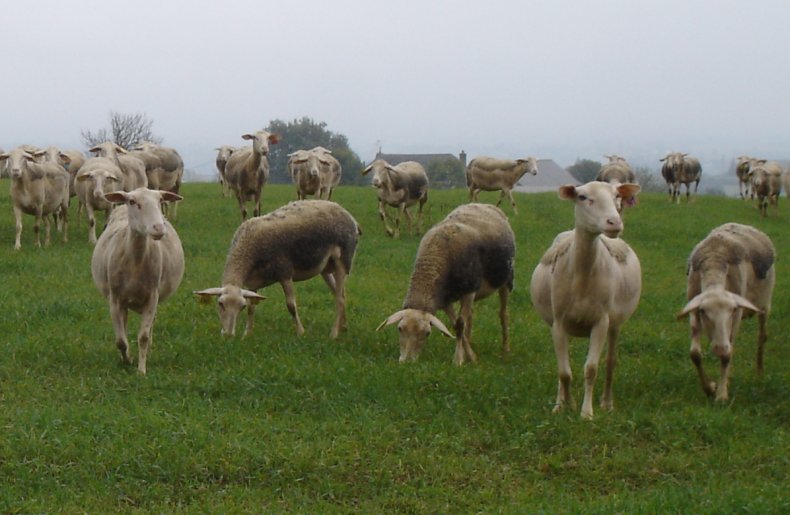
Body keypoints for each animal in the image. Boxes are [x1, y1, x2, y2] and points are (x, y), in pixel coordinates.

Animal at [91, 187, 184, 374]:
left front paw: (141, 370)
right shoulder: (115, 299)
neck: (135, 262)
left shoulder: (152, 298)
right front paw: (127, 360)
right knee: (124, 327)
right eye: (132, 202)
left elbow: (143, 337)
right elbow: (120, 340)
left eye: (160, 201)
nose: (158, 227)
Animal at [194, 200, 360, 339]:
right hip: (325, 267)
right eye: (220, 304)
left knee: (339, 298)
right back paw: (343, 327)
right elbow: (252, 308)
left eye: (240, 307)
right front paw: (247, 334)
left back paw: (334, 334)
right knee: (341, 294)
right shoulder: (252, 284)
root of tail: (350, 216)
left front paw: (301, 332)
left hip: (343, 260)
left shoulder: (284, 272)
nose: (228, 335)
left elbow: (291, 305)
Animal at [377, 203, 515, 365]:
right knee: (470, 316)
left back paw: (506, 348)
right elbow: (456, 325)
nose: (407, 362)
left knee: (503, 313)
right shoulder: (445, 299)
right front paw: (469, 354)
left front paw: (460, 359)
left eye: (427, 333)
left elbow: (460, 324)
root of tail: (483, 204)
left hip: (506, 279)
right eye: (400, 328)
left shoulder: (469, 291)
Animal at [530, 181, 641, 419]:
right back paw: (559, 400)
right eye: (582, 197)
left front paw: (586, 413)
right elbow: (564, 372)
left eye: (617, 196)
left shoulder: (601, 322)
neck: (582, 276)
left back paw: (607, 402)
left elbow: (591, 369)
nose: (614, 222)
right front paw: (565, 405)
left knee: (610, 362)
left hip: (615, 324)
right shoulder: (559, 322)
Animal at [677, 223, 775, 401]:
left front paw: (722, 394)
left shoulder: (737, 313)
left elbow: (727, 356)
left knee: (761, 336)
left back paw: (759, 373)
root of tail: (745, 225)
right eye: (703, 311)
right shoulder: (694, 307)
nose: (720, 348)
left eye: (732, 309)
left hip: (765, 304)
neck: (715, 257)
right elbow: (695, 354)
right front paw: (710, 388)